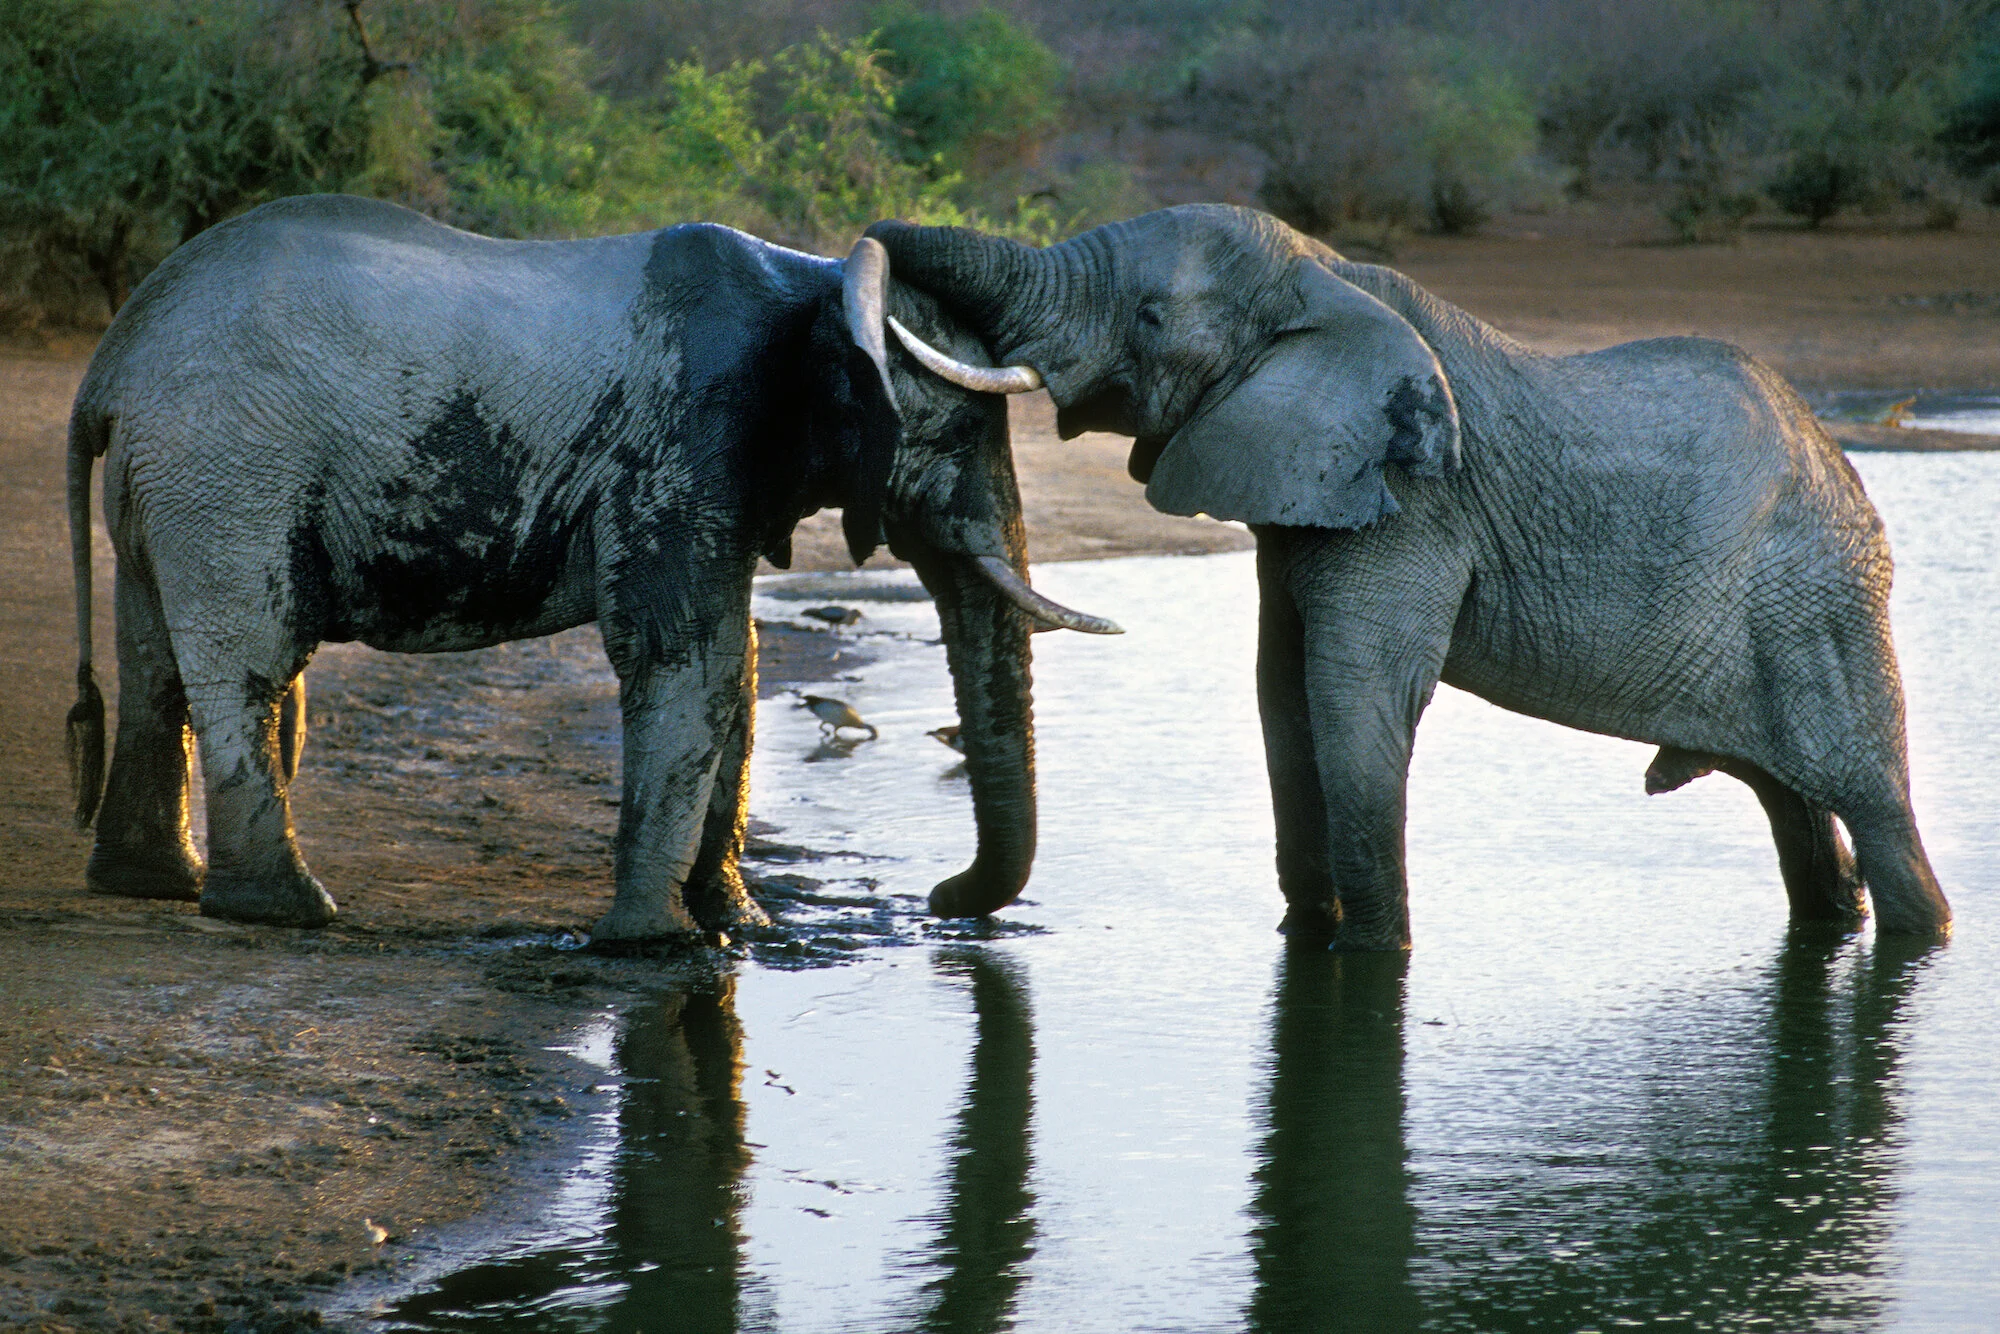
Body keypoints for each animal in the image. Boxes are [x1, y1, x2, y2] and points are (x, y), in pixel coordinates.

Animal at [64, 193, 1117, 943]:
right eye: (964, 429)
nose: (940, 897)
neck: (810, 282)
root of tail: (112, 361)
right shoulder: (682, 442)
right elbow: (686, 659)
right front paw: (654, 943)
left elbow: (738, 670)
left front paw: (738, 928)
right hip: (231, 465)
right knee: (250, 659)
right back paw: (287, 910)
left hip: (173, 478)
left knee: (156, 661)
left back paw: (154, 887)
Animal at [865, 203, 1952, 949]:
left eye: (1148, 314)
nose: (939, 899)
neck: (1322, 275)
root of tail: (1837, 457)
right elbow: (1282, 696)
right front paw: (1310, 936)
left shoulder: (1414, 502)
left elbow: (1355, 695)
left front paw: (1371, 955)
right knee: (1795, 807)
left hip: (1819, 602)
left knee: (1872, 801)